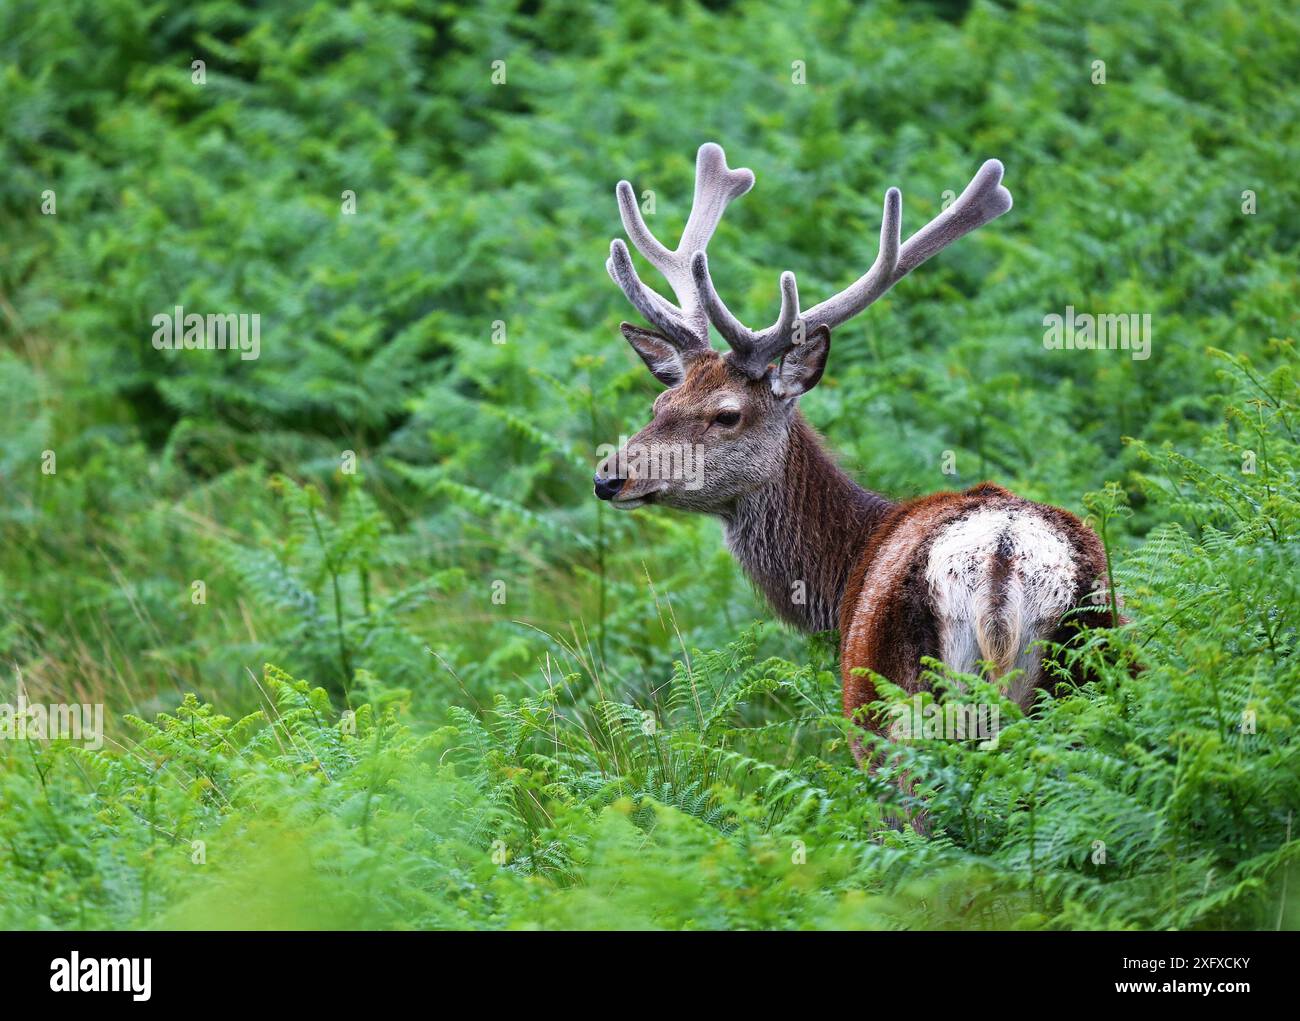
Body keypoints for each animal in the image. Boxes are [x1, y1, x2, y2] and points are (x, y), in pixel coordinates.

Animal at [592, 143, 1114, 764]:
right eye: (659, 402)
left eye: (726, 414)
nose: (609, 476)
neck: (844, 572)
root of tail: (1003, 560)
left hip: (895, 702)